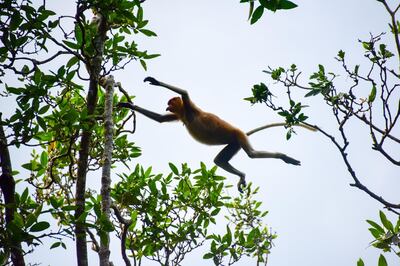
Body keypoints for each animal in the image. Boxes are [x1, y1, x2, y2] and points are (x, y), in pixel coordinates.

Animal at [117, 76, 318, 191]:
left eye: (170, 102)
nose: (167, 106)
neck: (185, 113)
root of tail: (240, 132)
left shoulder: (190, 108)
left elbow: (184, 93)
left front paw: (154, 81)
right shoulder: (180, 114)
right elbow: (159, 119)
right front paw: (127, 105)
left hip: (238, 136)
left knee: (252, 154)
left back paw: (283, 157)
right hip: (234, 143)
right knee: (219, 161)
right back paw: (242, 176)